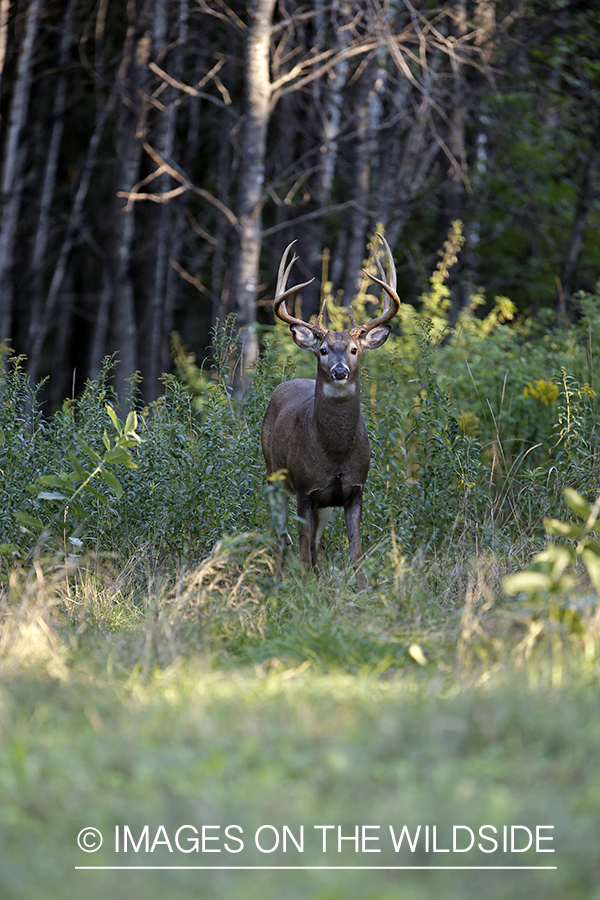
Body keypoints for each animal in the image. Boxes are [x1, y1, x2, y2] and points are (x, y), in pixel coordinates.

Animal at [262, 236, 398, 580]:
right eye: (322, 350)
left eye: (354, 349)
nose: (339, 371)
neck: (335, 452)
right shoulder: (304, 490)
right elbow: (302, 554)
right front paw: (301, 584)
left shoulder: (354, 490)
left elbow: (356, 554)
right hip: (274, 475)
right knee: (281, 536)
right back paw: (279, 578)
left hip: (323, 503)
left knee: (316, 545)